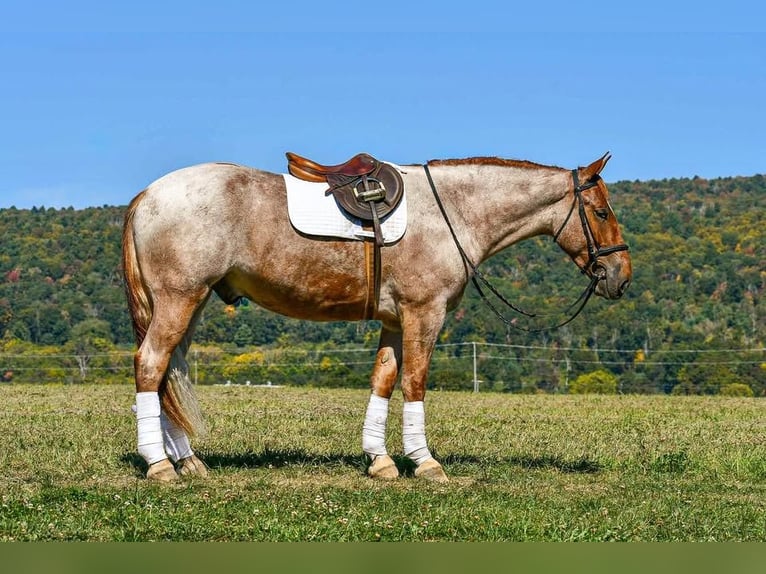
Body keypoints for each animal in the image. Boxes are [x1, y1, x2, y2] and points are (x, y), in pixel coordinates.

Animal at [121, 151, 632, 482]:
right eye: (601, 212)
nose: (621, 276)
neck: (452, 212)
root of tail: (147, 195)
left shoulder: (394, 320)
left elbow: (383, 380)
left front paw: (379, 460)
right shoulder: (424, 314)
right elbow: (415, 383)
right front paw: (425, 462)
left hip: (191, 304)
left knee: (171, 372)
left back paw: (188, 461)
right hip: (179, 299)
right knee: (151, 364)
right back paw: (160, 465)